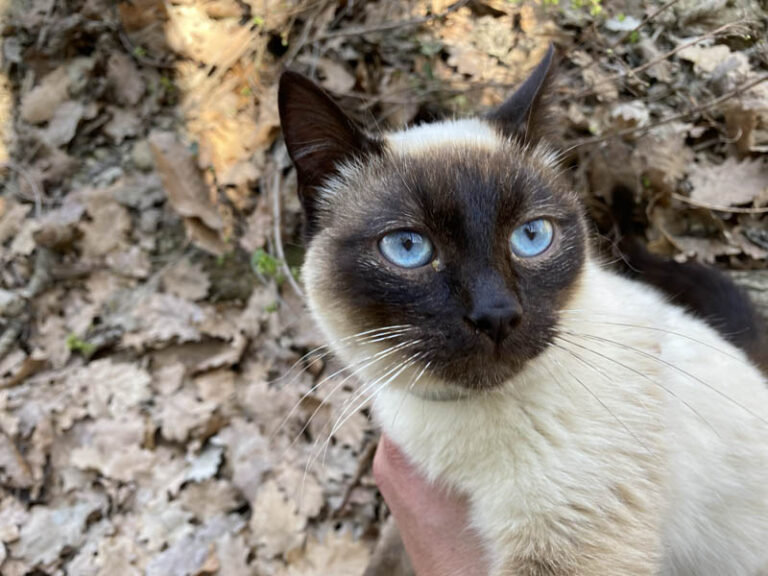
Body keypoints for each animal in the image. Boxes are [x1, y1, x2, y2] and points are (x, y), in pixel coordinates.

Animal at [276, 46, 768, 576]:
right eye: (408, 247)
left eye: (531, 237)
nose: (495, 314)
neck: (455, 428)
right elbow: (385, 559)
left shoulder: (563, 541)